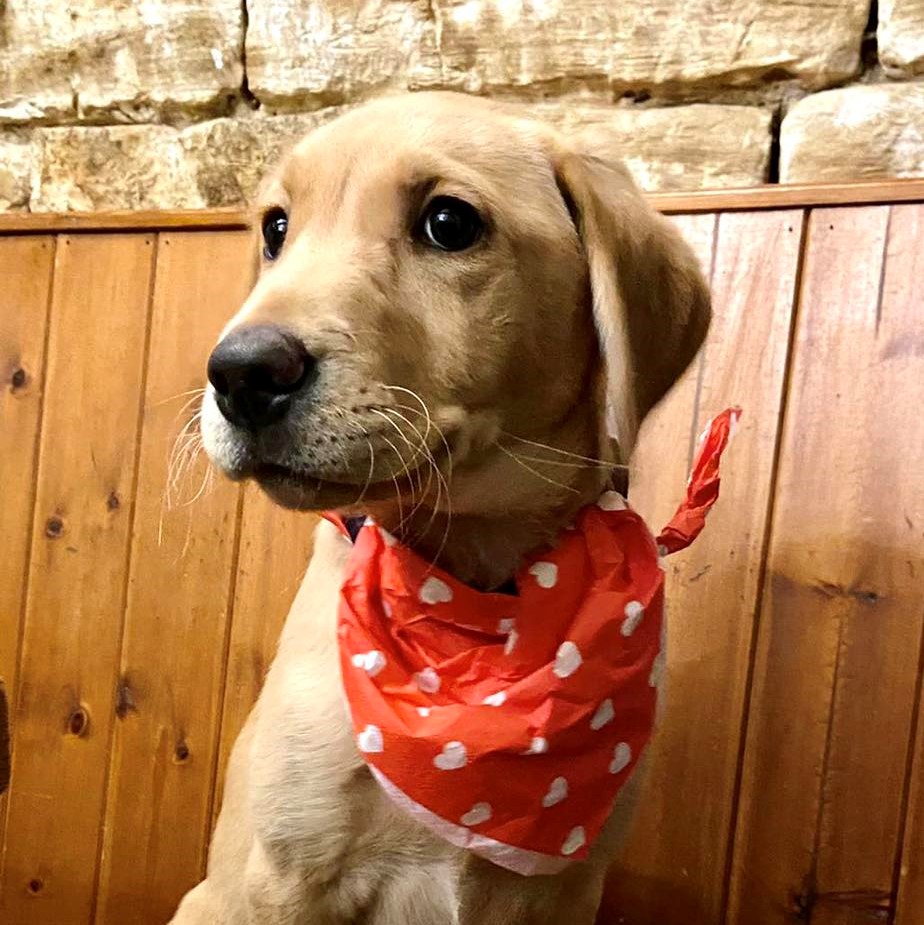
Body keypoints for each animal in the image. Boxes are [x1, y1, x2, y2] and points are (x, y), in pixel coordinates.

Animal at [173, 90, 710, 924]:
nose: (240, 372)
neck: (476, 589)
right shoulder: (286, 874)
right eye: (276, 228)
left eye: (449, 223)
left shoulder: (563, 891)